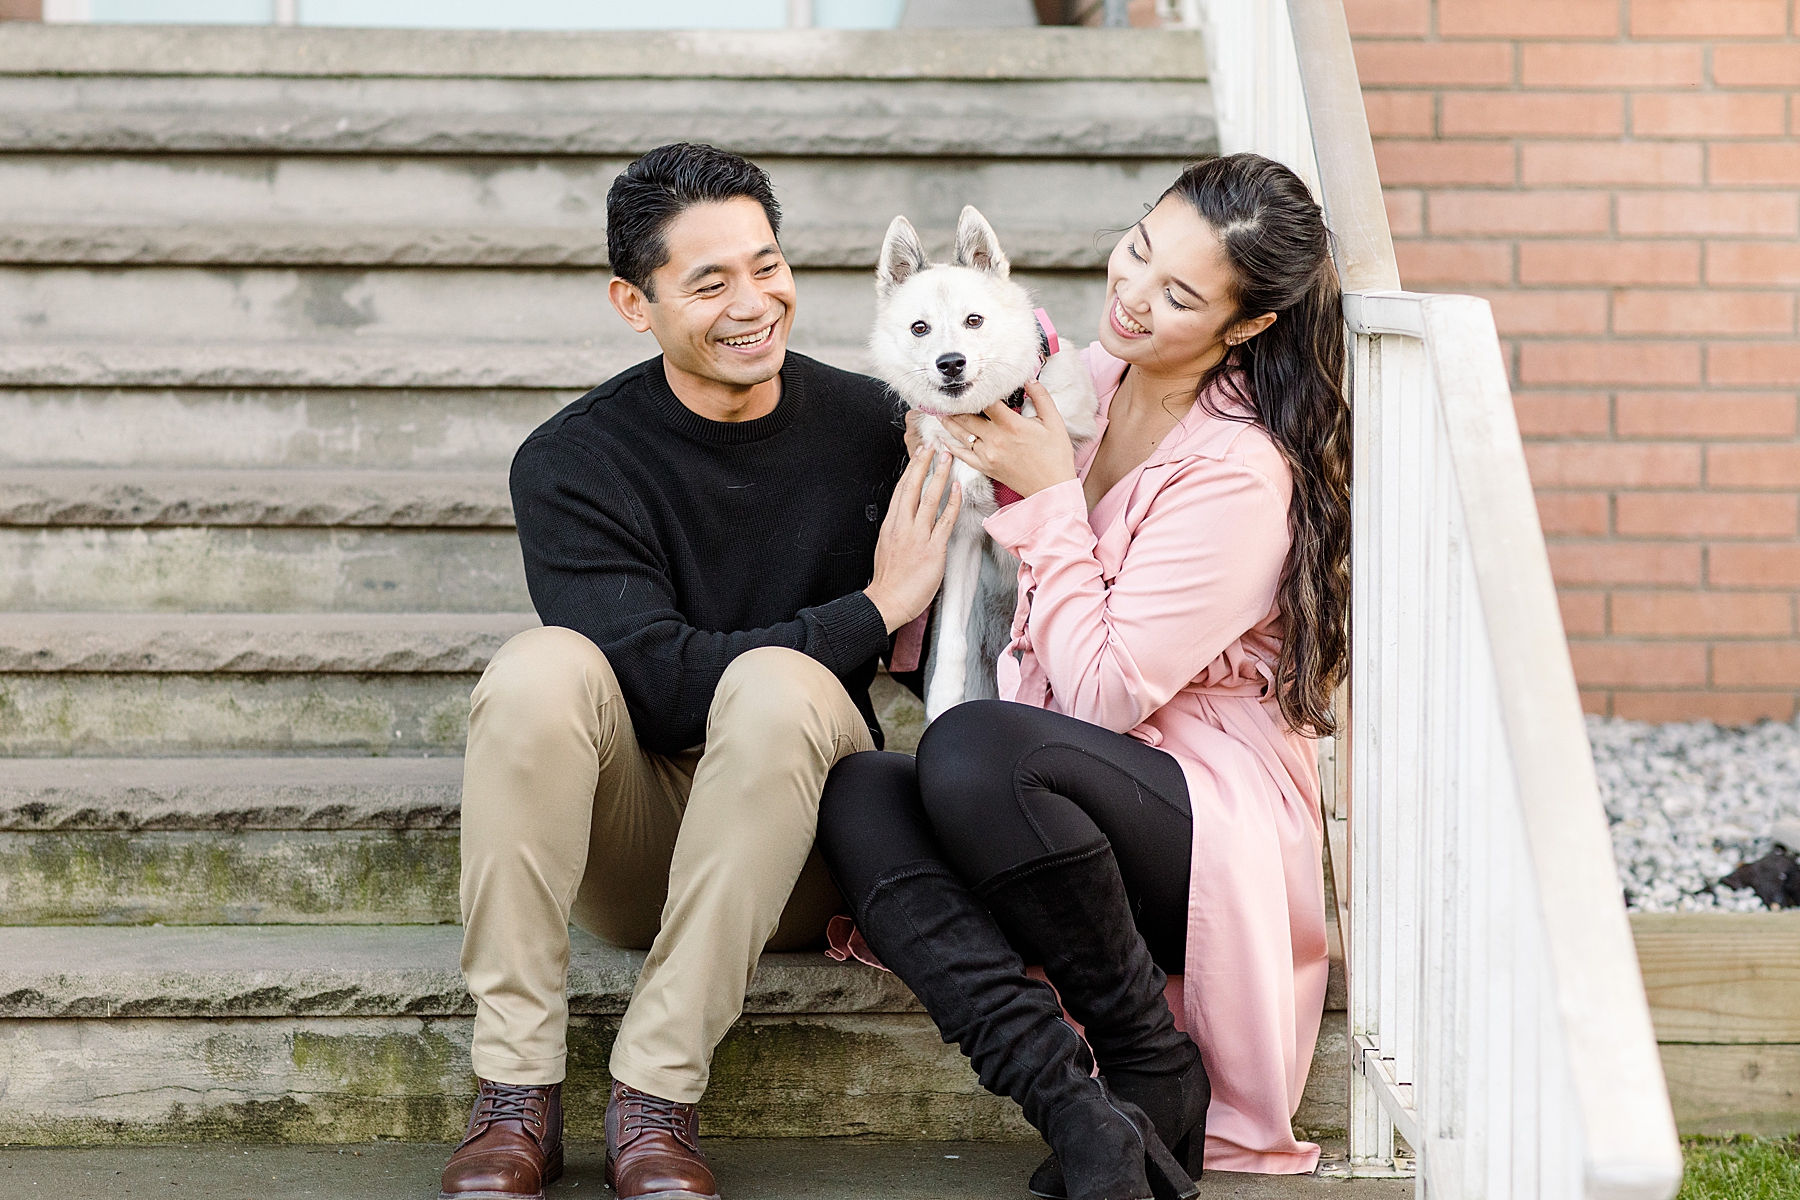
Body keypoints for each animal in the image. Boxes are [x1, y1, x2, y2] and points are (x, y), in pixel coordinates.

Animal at [867, 206, 1094, 723]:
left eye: (974, 320)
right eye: (920, 328)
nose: (951, 363)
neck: (991, 415)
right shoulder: (963, 536)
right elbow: (951, 640)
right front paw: (943, 703)